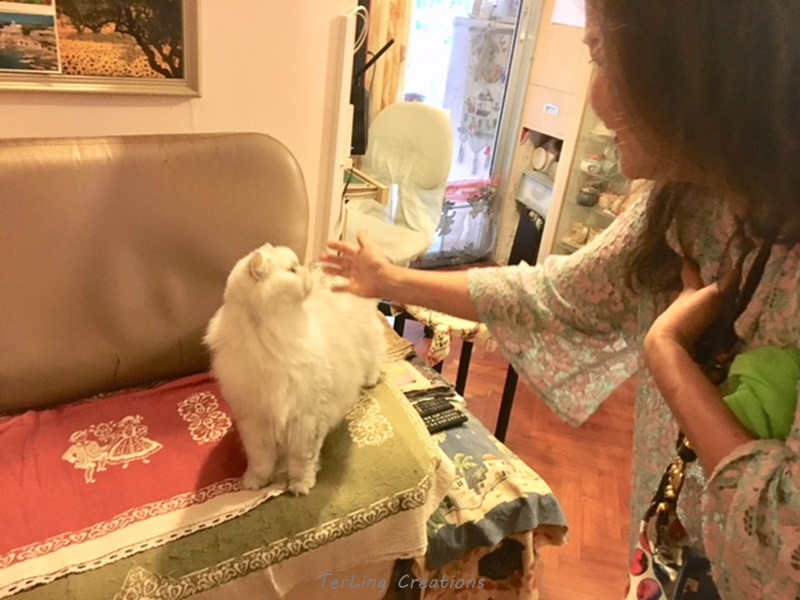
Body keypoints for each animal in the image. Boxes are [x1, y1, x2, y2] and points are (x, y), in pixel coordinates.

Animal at [204, 243, 386, 495]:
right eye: (291, 270)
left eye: (296, 266)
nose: (305, 273)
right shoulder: (255, 421)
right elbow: (261, 460)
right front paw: (255, 482)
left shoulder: (306, 420)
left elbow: (302, 460)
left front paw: (300, 486)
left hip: (368, 339)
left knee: (377, 353)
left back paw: (370, 380)